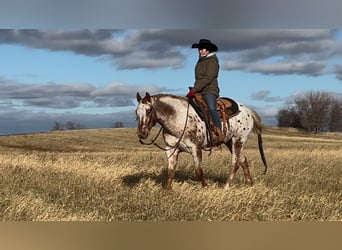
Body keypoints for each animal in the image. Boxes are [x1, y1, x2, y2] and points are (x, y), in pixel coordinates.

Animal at [136, 92, 268, 189]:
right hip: (230, 142)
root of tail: (248, 111)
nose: (142, 133)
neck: (178, 118)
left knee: (235, 164)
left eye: (148, 111)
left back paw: (226, 187)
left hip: (238, 140)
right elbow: (171, 170)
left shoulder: (195, 147)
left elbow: (198, 170)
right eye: (136, 112)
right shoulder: (171, 148)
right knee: (243, 161)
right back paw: (249, 184)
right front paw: (168, 190)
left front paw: (205, 186)